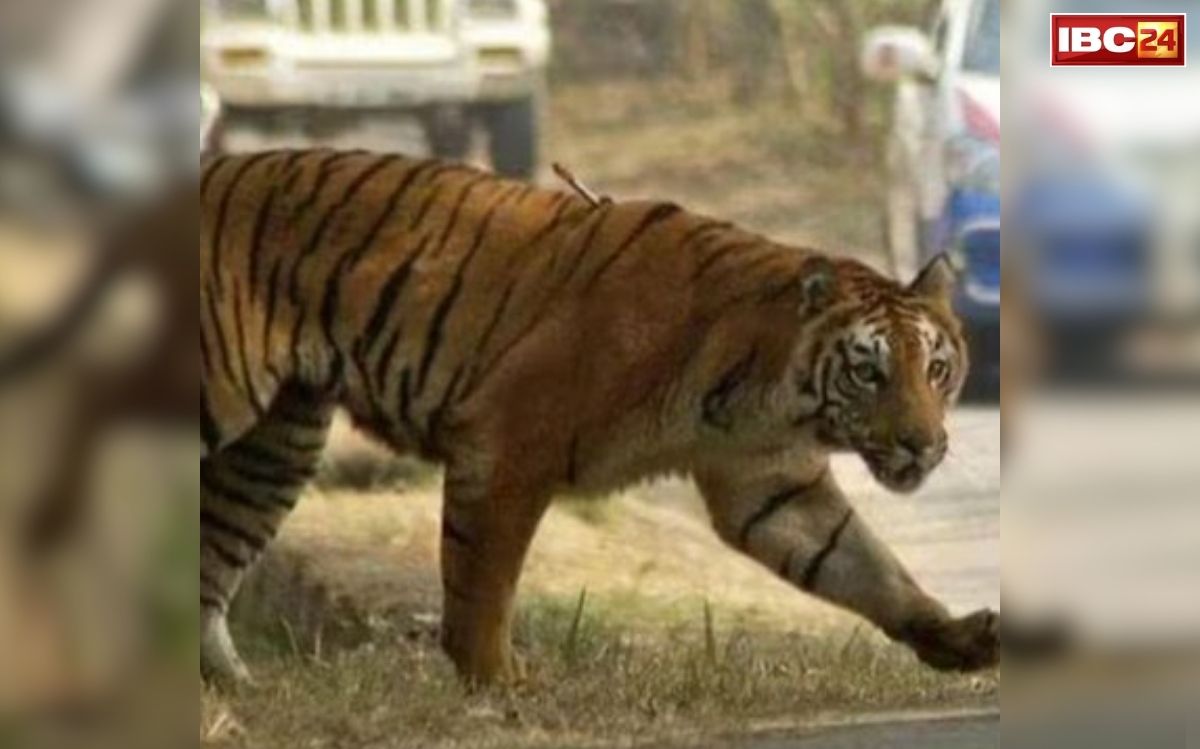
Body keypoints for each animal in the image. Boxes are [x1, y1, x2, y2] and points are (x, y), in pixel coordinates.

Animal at [200, 148, 999, 686]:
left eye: (936, 369)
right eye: (869, 372)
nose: (923, 445)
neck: (771, 391)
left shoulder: (769, 485)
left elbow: (864, 564)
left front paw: (957, 638)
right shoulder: (508, 446)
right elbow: (482, 583)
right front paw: (496, 684)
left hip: (277, 445)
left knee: (212, 561)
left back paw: (238, 689)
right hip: (222, 399)